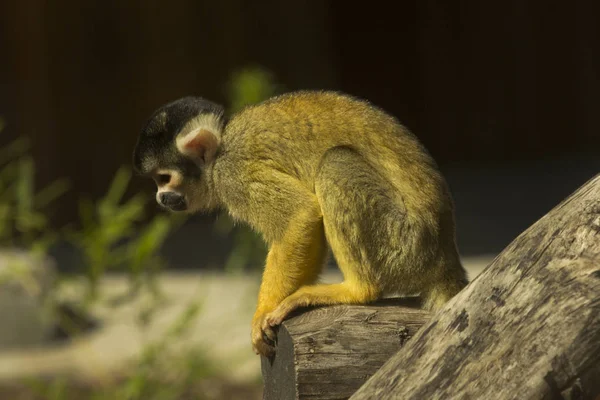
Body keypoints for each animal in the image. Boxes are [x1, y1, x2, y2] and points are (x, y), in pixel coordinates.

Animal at [131, 90, 468, 356]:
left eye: (164, 178)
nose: (161, 198)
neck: (220, 149)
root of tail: (445, 259)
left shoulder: (233, 172)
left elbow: (299, 214)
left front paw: (262, 313)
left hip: (405, 244)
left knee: (336, 161)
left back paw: (357, 290)